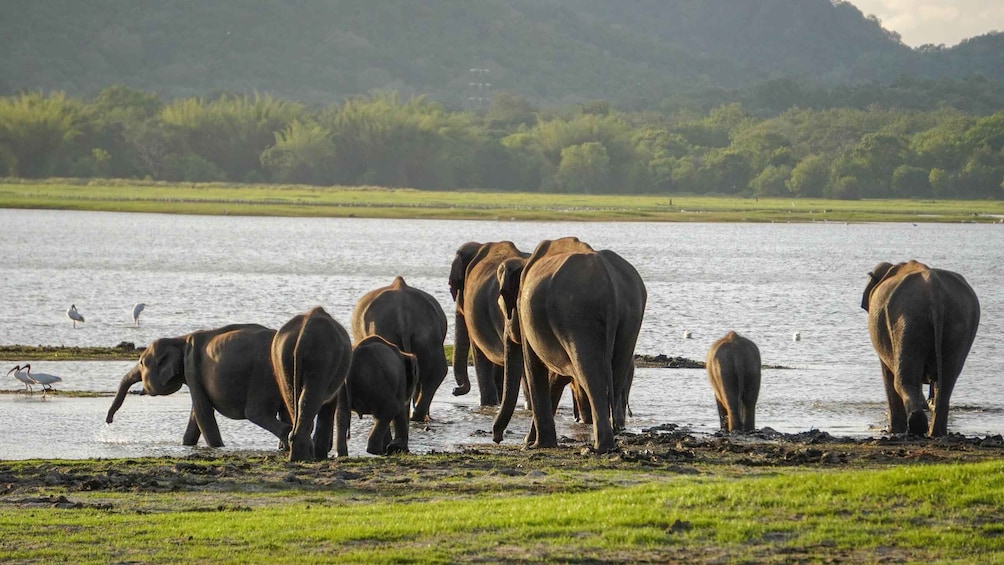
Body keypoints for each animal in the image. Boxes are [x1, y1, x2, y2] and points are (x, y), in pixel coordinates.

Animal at [106, 323, 291, 448]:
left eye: (141, 363)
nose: (109, 421)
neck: (180, 340)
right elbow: (196, 414)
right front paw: (186, 445)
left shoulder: (192, 369)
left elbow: (202, 412)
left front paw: (217, 447)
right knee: (287, 413)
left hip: (263, 378)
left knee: (256, 414)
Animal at [271, 307, 352, 462]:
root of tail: (303, 334)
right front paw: (321, 456)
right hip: (322, 360)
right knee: (310, 399)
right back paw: (306, 457)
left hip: (283, 358)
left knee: (293, 399)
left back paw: (300, 456)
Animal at [493, 237, 647, 453]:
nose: (497, 438)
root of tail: (610, 285)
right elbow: (560, 375)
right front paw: (531, 441)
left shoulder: (527, 318)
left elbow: (534, 365)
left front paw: (534, 445)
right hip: (630, 318)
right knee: (616, 375)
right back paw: (610, 441)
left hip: (578, 317)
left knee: (590, 376)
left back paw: (599, 446)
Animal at [861, 260, 980, 437]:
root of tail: (935, 293)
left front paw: (891, 431)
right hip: (961, 323)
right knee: (947, 382)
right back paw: (936, 432)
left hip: (908, 319)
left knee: (903, 380)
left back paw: (916, 427)